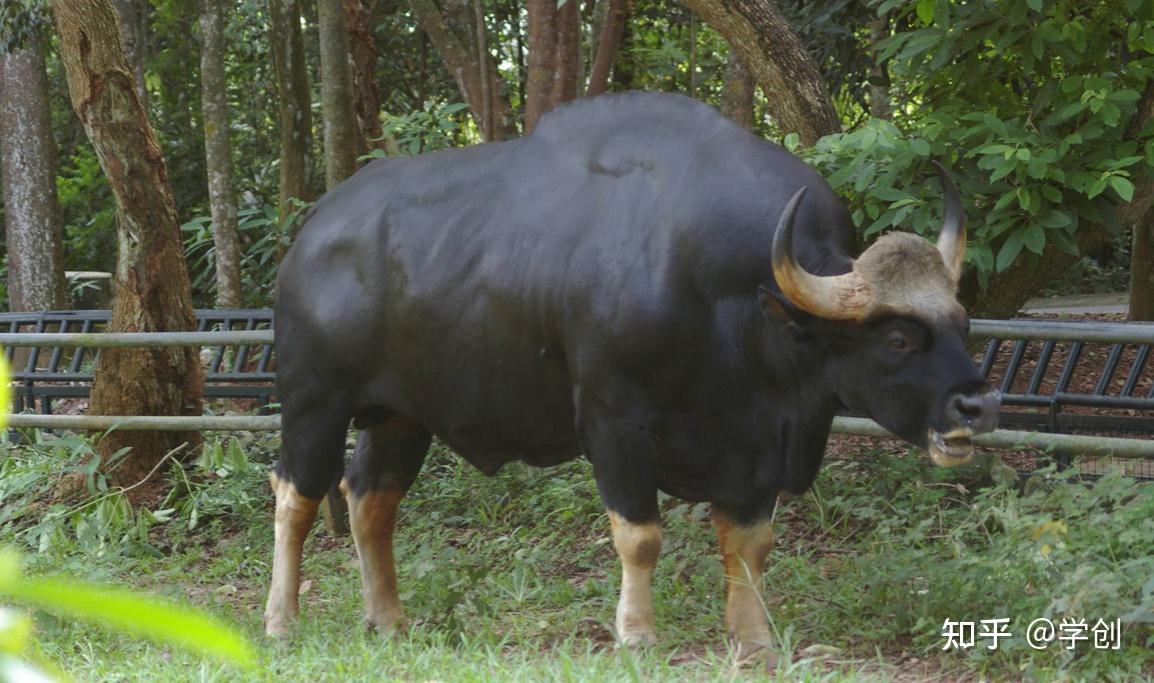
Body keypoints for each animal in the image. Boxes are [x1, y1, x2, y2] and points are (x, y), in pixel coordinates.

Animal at [264, 93, 1001, 659]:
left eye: (962, 322)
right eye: (898, 337)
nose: (977, 404)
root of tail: (313, 231)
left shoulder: (751, 447)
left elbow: (750, 544)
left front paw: (753, 640)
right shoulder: (613, 422)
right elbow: (641, 536)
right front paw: (638, 635)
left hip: (401, 415)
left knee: (370, 497)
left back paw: (387, 619)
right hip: (312, 402)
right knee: (296, 496)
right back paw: (280, 620)